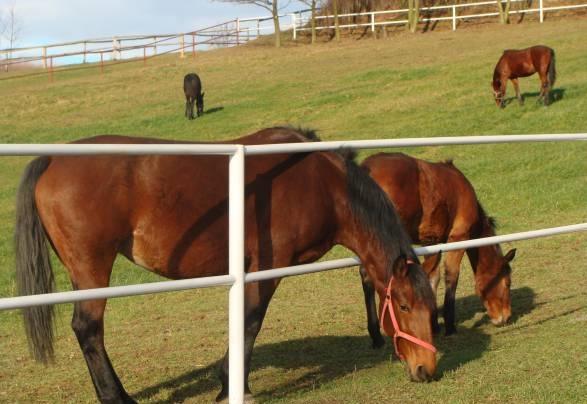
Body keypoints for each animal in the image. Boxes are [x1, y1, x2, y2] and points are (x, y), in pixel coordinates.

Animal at [14, 127, 436, 404]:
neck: (320, 182)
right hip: (93, 269)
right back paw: (117, 398)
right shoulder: (267, 267)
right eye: (403, 306)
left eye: (431, 309)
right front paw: (231, 386)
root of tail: (52, 158)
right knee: (88, 329)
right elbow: (250, 322)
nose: (427, 369)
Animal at [358, 153, 516, 342]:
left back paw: (376, 335)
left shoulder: (431, 242)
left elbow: (432, 276)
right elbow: (451, 276)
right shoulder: (458, 238)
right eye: (508, 283)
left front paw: (433, 324)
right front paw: (449, 326)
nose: (506, 317)